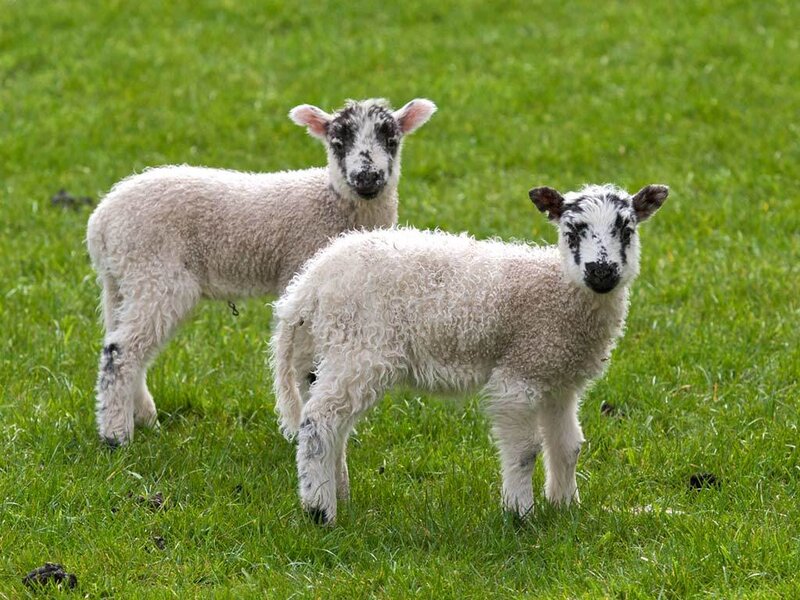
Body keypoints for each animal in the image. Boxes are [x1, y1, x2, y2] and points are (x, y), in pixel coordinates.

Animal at [86, 97, 437, 447]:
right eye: (338, 141)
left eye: (391, 139)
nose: (366, 178)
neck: (333, 203)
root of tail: (100, 223)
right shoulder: (304, 280)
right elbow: (306, 367)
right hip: (156, 273)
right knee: (120, 351)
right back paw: (116, 435)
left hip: (127, 280)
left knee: (122, 341)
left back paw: (143, 417)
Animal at [271, 182, 669, 524]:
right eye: (572, 231)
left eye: (627, 230)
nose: (601, 273)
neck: (557, 290)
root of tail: (310, 283)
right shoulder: (519, 372)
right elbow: (525, 450)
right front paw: (519, 514)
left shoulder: (557, 376)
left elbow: (569, 446)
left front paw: (566, 506)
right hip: (361, 348)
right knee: (319, 421)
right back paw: (320, 511)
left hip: (326, 352)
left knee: (329, 423)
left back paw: (338, 492)